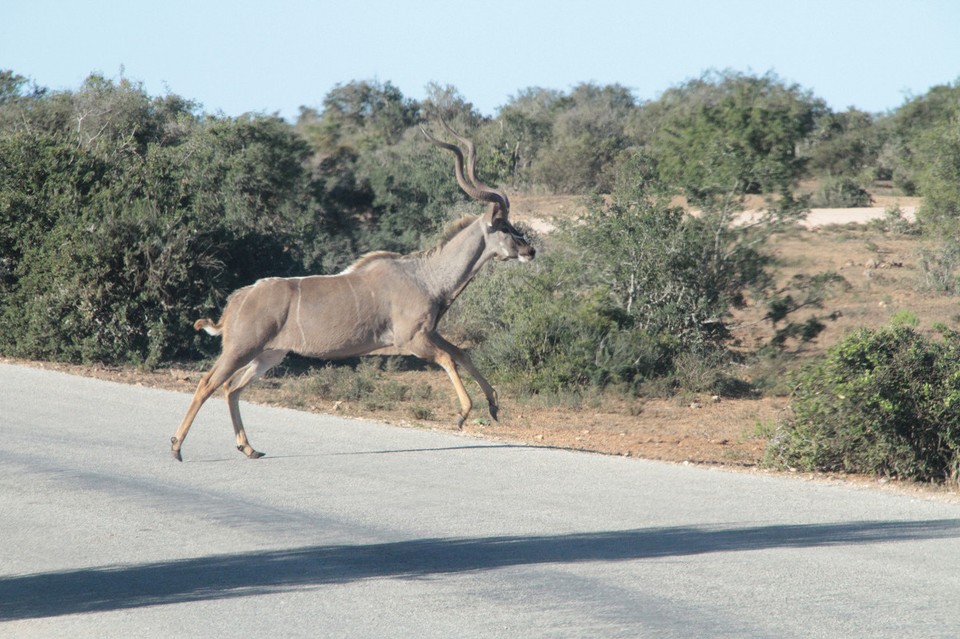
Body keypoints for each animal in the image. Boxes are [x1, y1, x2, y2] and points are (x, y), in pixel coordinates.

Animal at [172, 121, 532, 460]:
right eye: (504, 226)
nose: (530, 250)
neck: (425, 276)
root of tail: (238, 300)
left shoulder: (429, 332)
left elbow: (462, 353)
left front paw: (493, 405)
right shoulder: (412, 340)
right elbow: (448, 358)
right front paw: (463, 414)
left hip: (268, 355)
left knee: (232, 389)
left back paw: (248, 448)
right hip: (240, 349)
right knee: (208, 383)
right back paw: (177, 447)